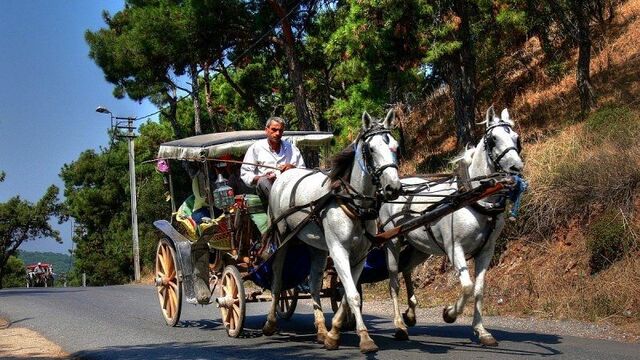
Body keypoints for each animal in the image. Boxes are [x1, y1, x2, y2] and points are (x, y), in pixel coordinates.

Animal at [264, 109, 400, 352]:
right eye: (371, 150)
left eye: (395, 146)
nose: (393, 188)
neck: (352, 203)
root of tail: (282, 175)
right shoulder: (338, 251)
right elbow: (353, 296)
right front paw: (365, 339)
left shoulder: (359, 256)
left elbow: (347, 294)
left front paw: (333, 333)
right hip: (282, 239)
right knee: (277, 281)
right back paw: (270, 323)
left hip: (316, 247)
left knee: (314, 285)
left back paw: (320, 330)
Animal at [378, 107, 524, 346]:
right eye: (493, 139)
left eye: (516, 138)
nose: (516, 167)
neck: (474, 198)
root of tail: (393, 188)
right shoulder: (455, 248)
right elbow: (467, 286)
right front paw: (449, 313)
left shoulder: (487, 250)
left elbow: (479, 289)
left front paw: (481, 330)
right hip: (393, 241)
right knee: (393, 281)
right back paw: (399, 325)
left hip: (420, 247)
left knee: (406, 268)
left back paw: (411, 313)